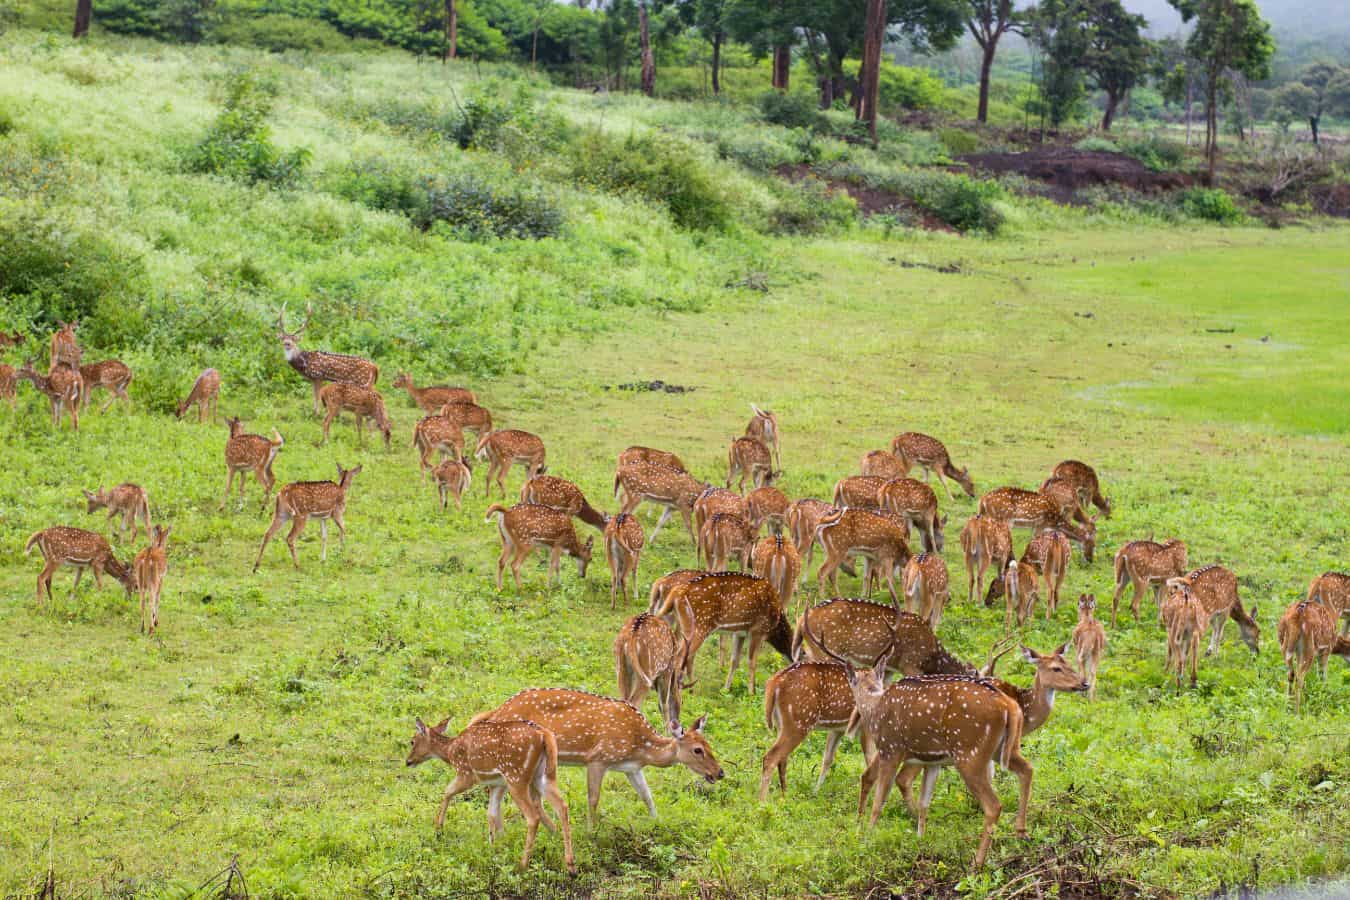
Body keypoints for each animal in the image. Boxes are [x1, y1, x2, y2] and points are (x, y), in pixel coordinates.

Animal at [406, 717, 575, 874]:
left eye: (412, 741)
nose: (408, 761)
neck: (450, 752)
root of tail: (543, 734)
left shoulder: (466, 773)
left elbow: (447, 792)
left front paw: (438, 830)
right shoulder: (497, 784)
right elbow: (491, 813)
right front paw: (495, 846)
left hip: (516, 776)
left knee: (533, 817)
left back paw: (523, 864)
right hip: (542, 775)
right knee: (562, 806)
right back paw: (569, 863)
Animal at [470, 688, 724, 824]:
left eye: (709, 744)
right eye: (697, 749)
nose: (720, 772)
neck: (639, 747)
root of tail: (498, 711)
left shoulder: (632, 768)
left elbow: (647, 795)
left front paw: (657, 823)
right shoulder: (598, 758)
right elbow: (593, 798)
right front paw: (591, 830)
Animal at [760, 659, 856, 800]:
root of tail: (774, 681)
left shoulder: (837, 730)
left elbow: (828, 758)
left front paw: (815, 792)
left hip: (781, 724)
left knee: (782, 758)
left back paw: (785, 795)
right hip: (799, 722)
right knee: (771, 757)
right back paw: (762, 801)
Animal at [806, 618, 1031, 869]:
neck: (875, 708)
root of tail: (1009, 705)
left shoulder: (890, 749)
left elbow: (879, 799)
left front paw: (867, 837)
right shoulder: (933, 761)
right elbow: (924, 802)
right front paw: (920, 839)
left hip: (970, 752)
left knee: (993, 805)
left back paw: (977, 862)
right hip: (1003, 748)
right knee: (1027, 769)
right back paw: (1021, 831)